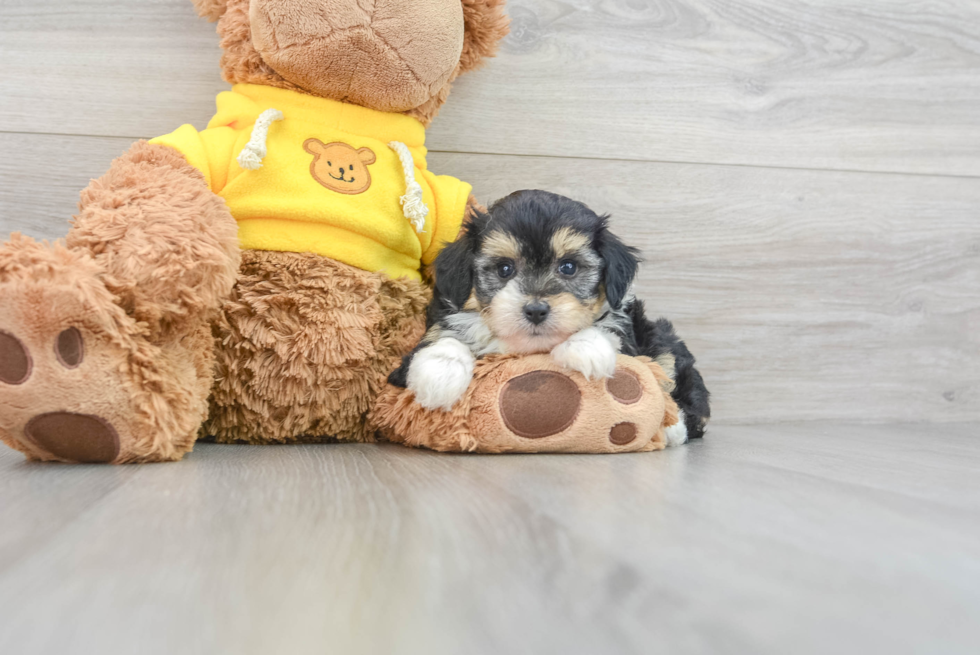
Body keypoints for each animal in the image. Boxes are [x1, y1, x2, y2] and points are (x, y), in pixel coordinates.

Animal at [390, 190, 712, 446]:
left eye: (568, 267)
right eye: (504, 269)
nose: (535, 310)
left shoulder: (627, 328)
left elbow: (608, 331)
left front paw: (586, 348)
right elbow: (444, 336)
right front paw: (439, 373)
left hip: (662, 341)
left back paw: (672, 428)